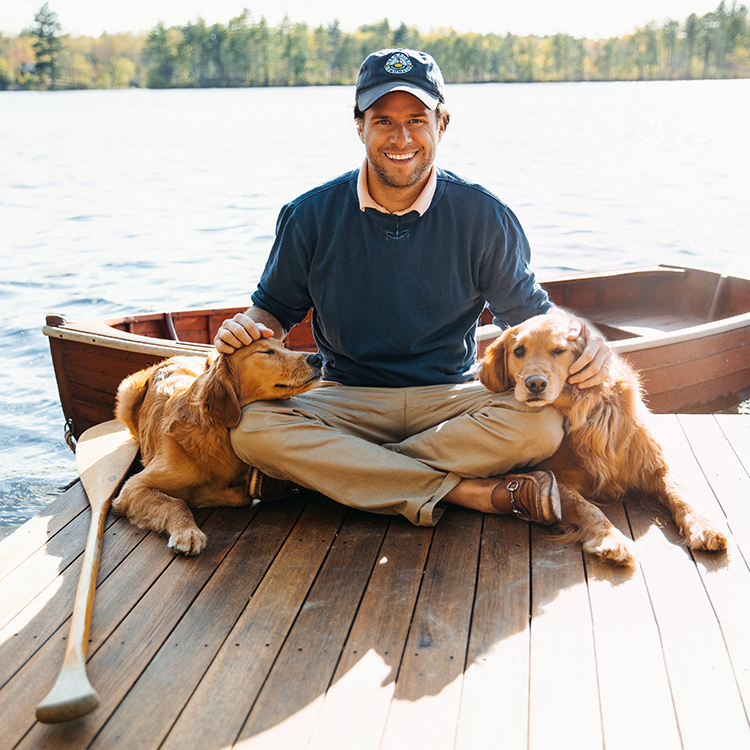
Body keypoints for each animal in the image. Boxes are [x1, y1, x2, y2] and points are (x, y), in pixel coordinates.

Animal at [114, 338, 324, 556]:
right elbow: (176, 502)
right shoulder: (133, 487)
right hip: (128, 390)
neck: (216, 432)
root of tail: (173, 357)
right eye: (266, 352)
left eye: (283, 346)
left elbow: (241, 495)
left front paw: (201, 496)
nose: (318, 358)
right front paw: (187, 531)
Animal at [482, 312, 728, 568]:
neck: (583, 411)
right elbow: (586, 507)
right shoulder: (556, 479)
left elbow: (681, 494)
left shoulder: (656, 466)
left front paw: (704, 525)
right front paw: (610, 538)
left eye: (559, 350)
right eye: (519, 351)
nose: (535, 383)